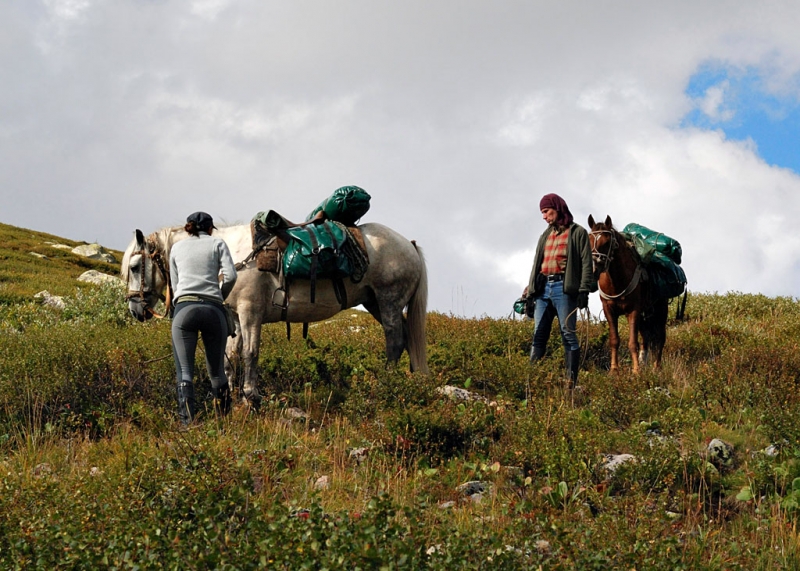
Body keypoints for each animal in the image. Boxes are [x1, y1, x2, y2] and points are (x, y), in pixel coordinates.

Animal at [121, 221, 428, 404]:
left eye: (135, 267)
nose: (136, 310)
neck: (233, 256)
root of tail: (410, 245)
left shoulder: (250, 314)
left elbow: (250, 353)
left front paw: (250, 395)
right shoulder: (235, 318)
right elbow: (231, 355)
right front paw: (230, 393)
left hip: (388, 302)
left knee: (394, 342)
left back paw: (387, 383)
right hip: (376, 303)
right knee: (406, 340)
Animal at [588, 213, 668, 370]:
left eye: (607, 242)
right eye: (589, 240)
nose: (594, 269)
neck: (617, 282)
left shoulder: (633, 310)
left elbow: (632, 342)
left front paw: (636, 370)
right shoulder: (609, 310)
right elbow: (614, 340)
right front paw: (614, 369)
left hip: (661, 310)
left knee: (660, 337)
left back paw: (656, 367)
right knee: (646, 336)